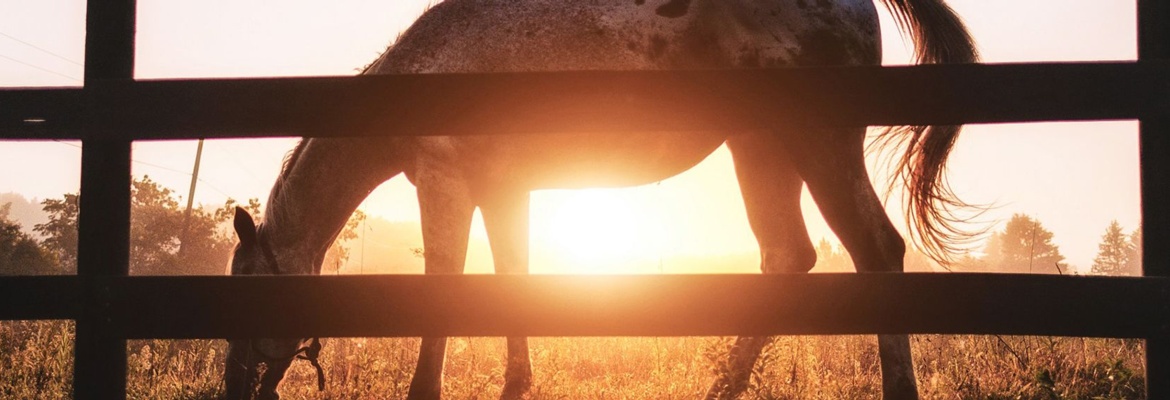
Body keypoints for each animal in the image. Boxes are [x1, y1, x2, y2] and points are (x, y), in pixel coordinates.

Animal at [223, 0, 976, 398]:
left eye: (250, 291)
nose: (235, 385)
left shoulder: (447, 185)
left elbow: (446, 290)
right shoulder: (504, 192)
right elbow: (511, 283)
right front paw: (517, 384)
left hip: (819, 144)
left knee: (875, 250)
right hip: (760, 149)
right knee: (786, 256)